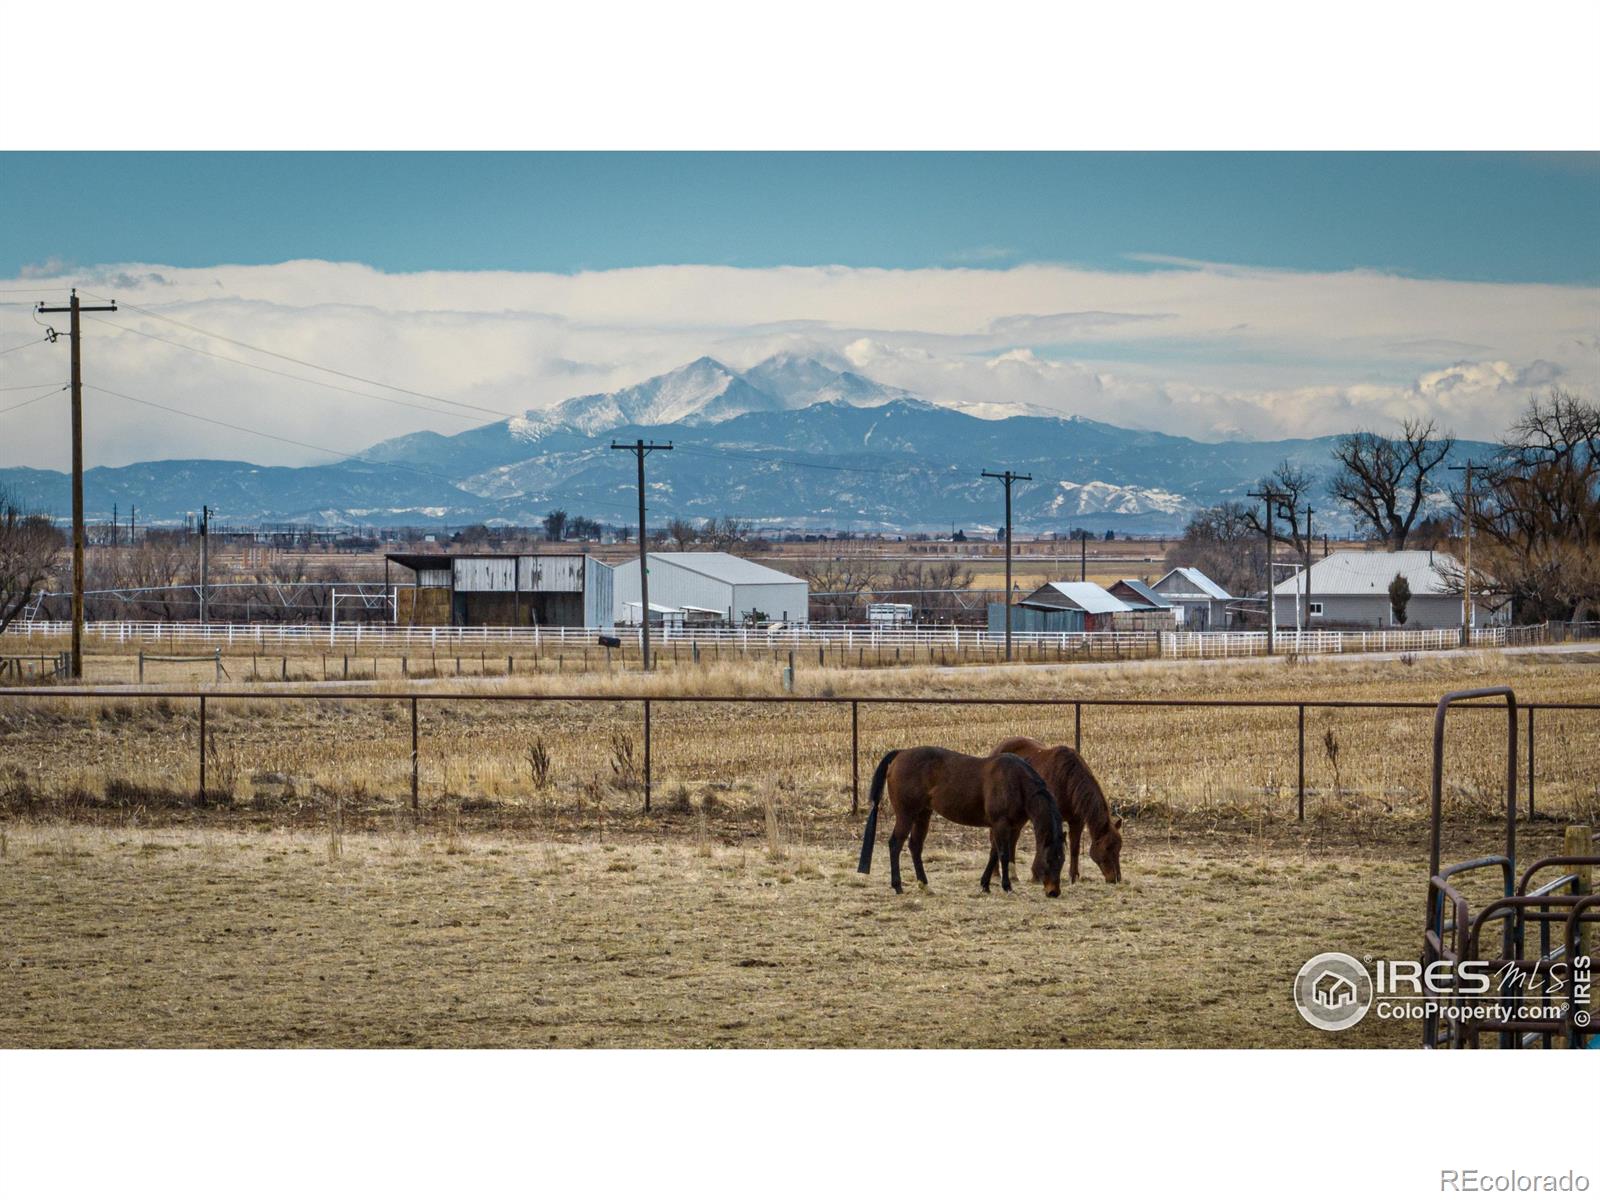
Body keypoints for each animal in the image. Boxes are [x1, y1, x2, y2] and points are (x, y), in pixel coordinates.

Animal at [857, 748, 1068, 896]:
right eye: (1048, 860)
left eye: (1062, 860)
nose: (1053, 892)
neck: (1016, 781)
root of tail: (901, 754)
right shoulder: (1001, 824)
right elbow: (1003, 854)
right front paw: (1007, 886)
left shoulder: (1003, 827)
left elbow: (993, 854)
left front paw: (985, 885)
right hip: (906, 814)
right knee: (895, 844)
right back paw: (898, 886)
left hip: (923, 814)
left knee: (915, 846)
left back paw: (925, 885)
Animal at [992, 742, 1120, 883]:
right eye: (1107, 848)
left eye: (1119, 848)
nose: (1116, 878)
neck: (1067, 780)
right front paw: (1037, 874)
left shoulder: (1077, 821)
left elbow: (1075, 848)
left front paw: (1073, 876)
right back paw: (996, 873)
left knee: (1013, 838)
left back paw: (1012, 875)